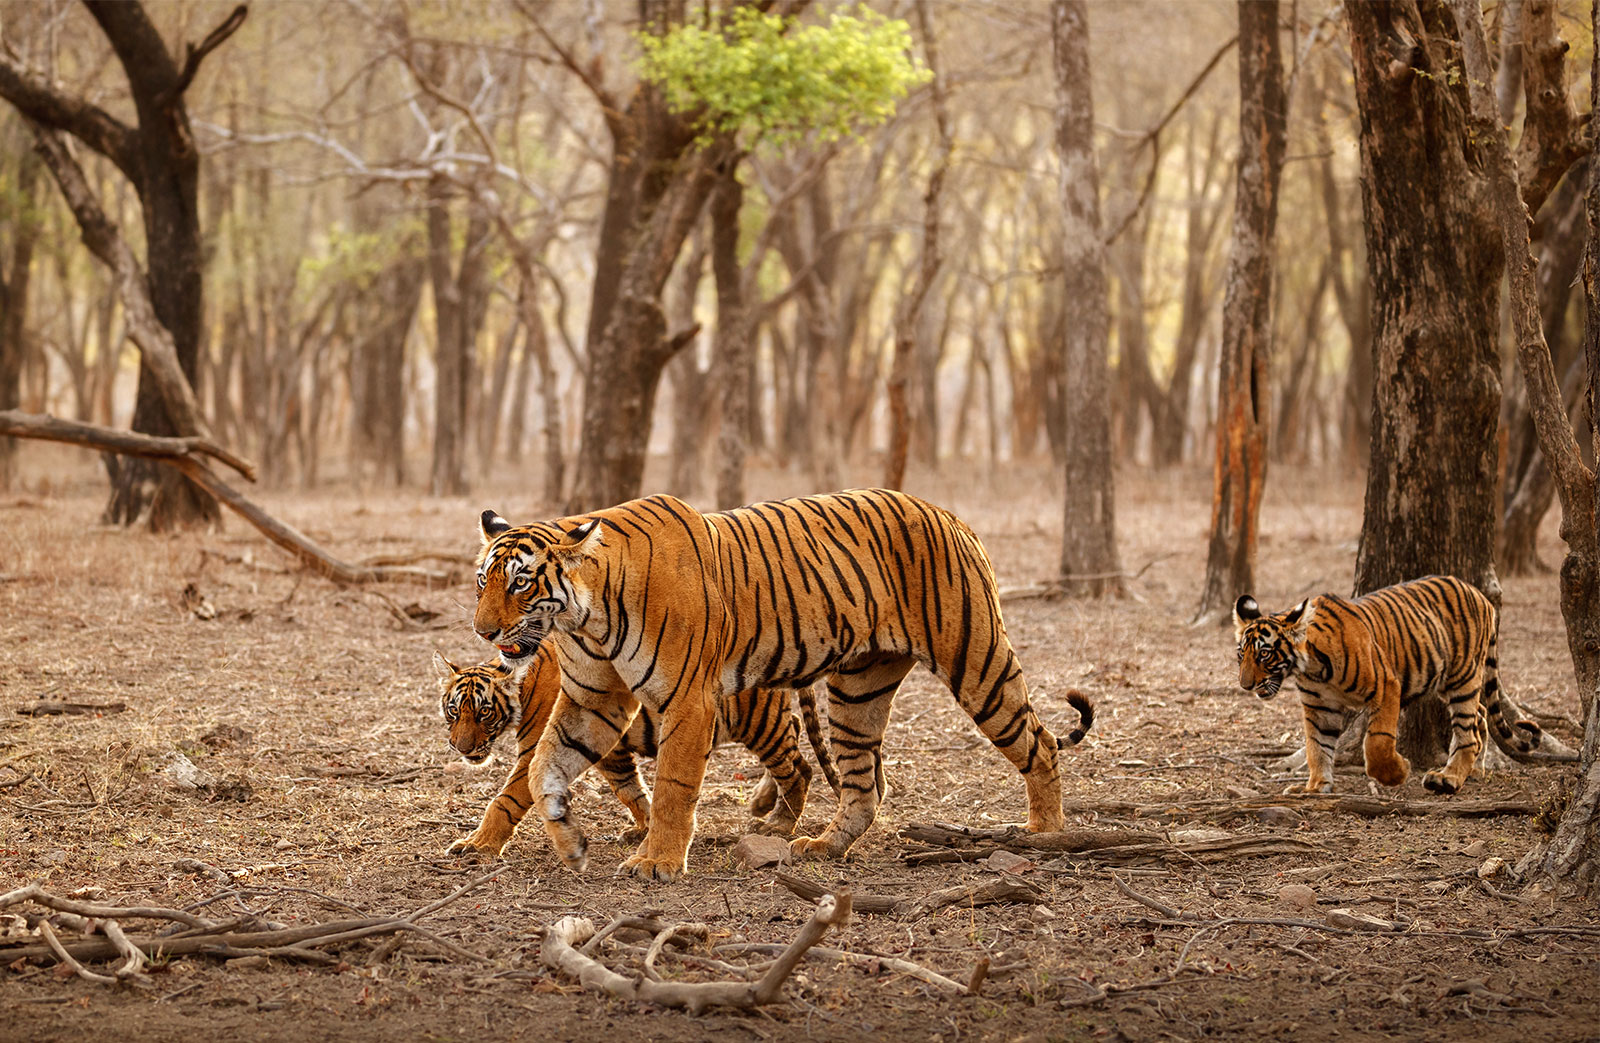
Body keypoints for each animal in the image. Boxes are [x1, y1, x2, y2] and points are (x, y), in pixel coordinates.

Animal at [433, 645, 839, 857]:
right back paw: (763, 803)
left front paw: (476, 845)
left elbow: (504, 802)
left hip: (758, 721)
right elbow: (631, 790)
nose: (461, 746)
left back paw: (779, 823)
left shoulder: (535, 752)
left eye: (484, 712)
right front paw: (643, 829)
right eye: (454, 711)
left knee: (799, 768)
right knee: (794, 735)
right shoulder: (607, 749)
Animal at [1233, 574, 1544, 796]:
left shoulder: (1385, 686)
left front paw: (1399, 772)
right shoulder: (1320, 707)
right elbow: (1317, 748)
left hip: (1462, 676)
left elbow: (1377, 744)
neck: (1310, 668)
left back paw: (1449, 778)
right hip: (1451, 683)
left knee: (1469, 730)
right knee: (1480, 715)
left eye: (1264, 653)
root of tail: (1480, 594)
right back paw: (1475, 770)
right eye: (1241, 654)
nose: (1245, 685)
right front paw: (1315, 787)